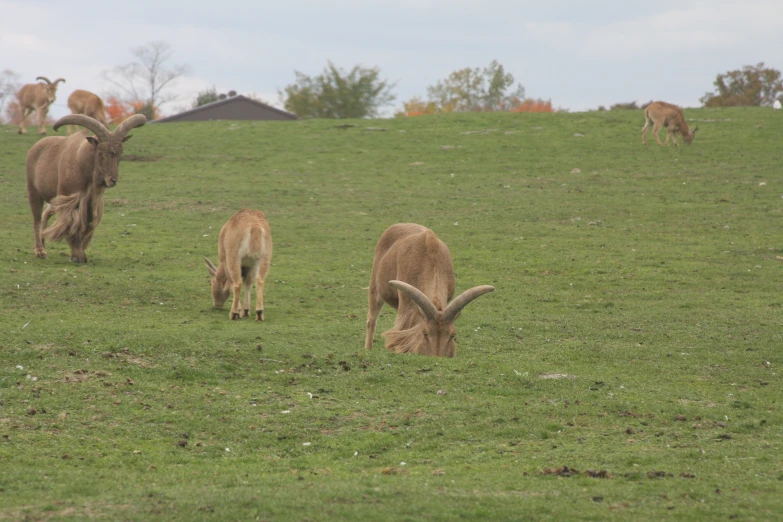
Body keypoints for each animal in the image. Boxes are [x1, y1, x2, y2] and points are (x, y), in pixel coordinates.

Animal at [25, 112, 147, 262]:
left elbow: (87, 225)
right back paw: (40, 250)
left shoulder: (92, 202)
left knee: (45, 213)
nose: (112, 180)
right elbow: (72, 224)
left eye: (120, 153)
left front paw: (82, 253)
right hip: (34, 191)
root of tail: (34, 148)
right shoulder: (71, 199)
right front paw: (77, 256)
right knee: (37, 219)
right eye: (100, 152)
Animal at [364, 221, 494, 356]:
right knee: (371, 320)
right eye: (425, 333)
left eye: (452, 335)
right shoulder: (405, 303)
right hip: (375, 288)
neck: (430, 256)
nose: (436, 357)